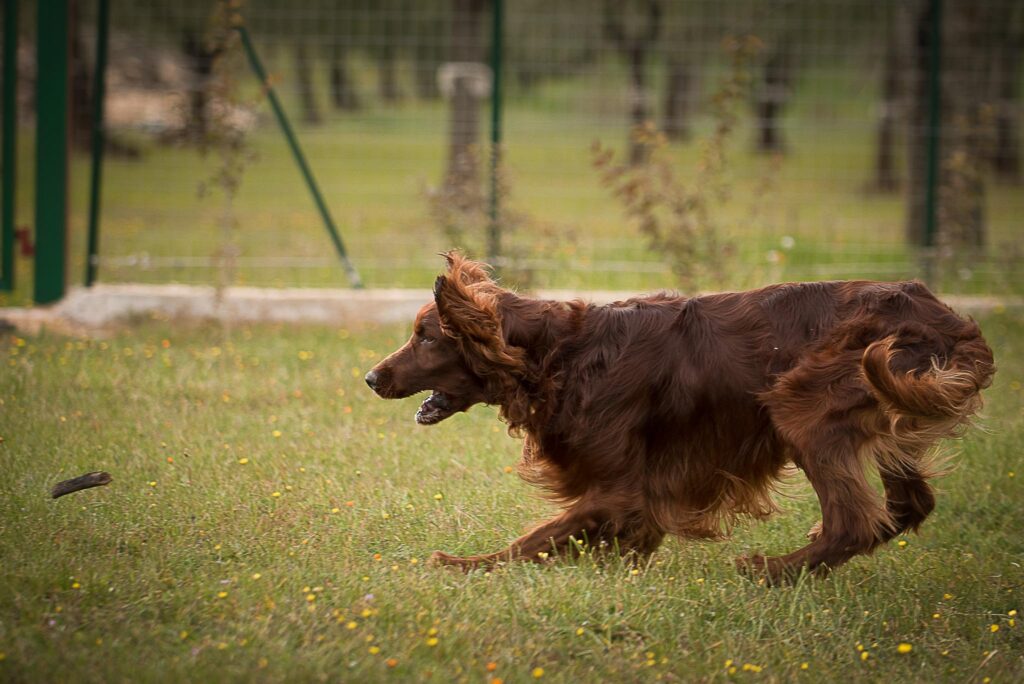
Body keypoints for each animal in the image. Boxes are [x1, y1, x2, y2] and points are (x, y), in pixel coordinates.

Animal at [366, 252, 991, 581]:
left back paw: (768, 570)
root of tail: (945, 318)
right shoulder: (631, 497)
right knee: (907, 507)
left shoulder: (620, 489)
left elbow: (539, 535)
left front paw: (461, 564)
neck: (559, 355)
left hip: (803, 407)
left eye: (425, 337)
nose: (371, 378)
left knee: (855, 522)